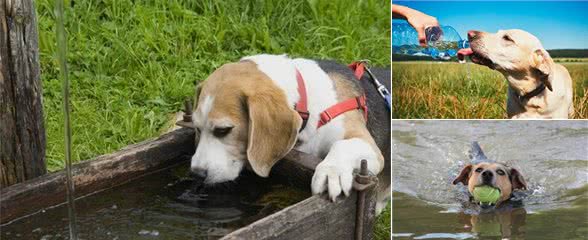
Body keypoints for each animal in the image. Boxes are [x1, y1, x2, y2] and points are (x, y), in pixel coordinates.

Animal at [191, 54, 388, 210]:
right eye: (197, 128)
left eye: (223, 130)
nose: (197, 174)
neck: (309, 104)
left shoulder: (368, 145)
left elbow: (342, 145)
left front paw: (331, 172)